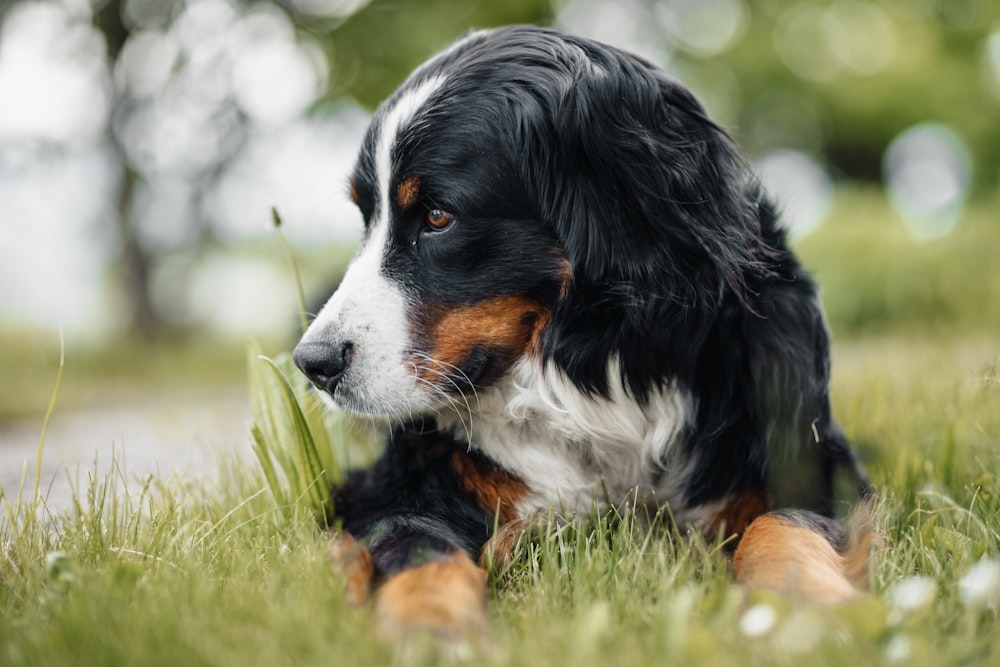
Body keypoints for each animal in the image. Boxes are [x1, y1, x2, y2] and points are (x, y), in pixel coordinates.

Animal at [292, 24, 872, 640]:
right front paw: (431, 627)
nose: (313, 363)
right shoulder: (390, 486)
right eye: (366, 217)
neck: (597, 368)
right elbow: (419, 548)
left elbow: (783, 525)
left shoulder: (805, 457)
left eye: (438, 216)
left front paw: (811, 605)